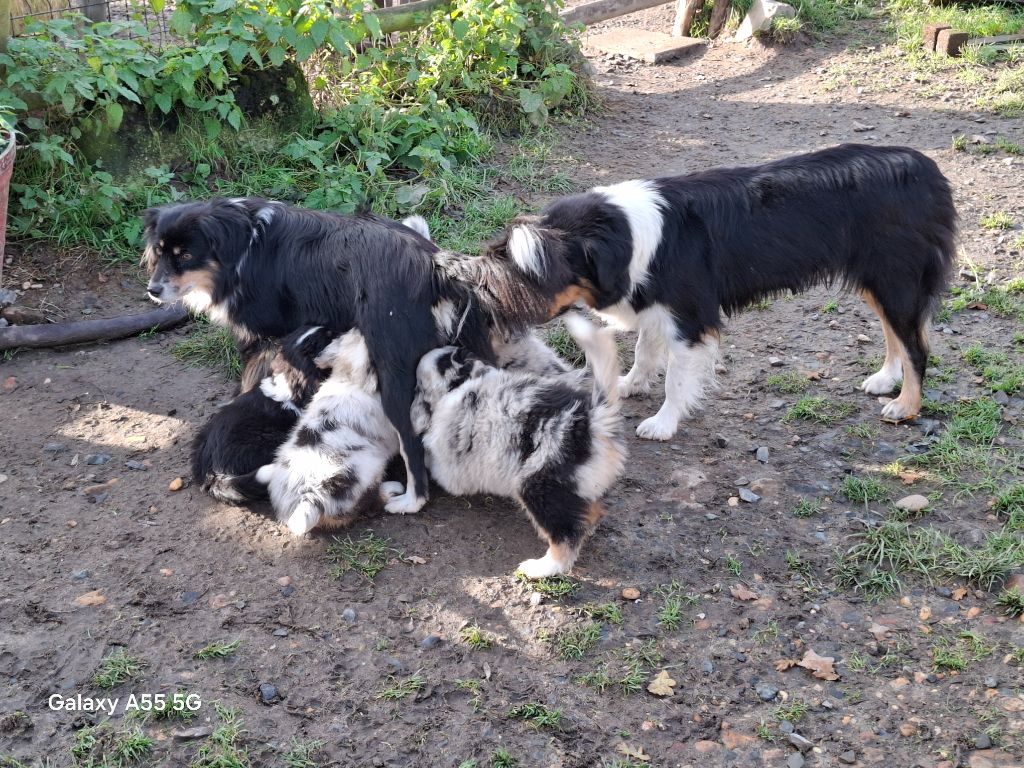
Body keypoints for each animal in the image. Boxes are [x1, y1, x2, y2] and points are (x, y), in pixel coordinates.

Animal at [409, 313, 622, 577]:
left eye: (443, 364)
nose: (458, 348)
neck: (458, 387)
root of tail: (594, 419)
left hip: (538, 484)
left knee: (565, 534)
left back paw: (541, 567)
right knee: (589, 512)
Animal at [483, 143, 954, 438]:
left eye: (536, 274)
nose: (494, 303)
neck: (627, 235)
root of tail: (928, 169)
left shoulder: (690, 319)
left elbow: (675, 380)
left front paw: (663, 424)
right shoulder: (656, 304)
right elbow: (644, 351)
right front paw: (631, 383)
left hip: (896, 279)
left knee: (918, 345)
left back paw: (906, 406)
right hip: (881, 281)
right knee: (897, 334)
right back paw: (886, 378)